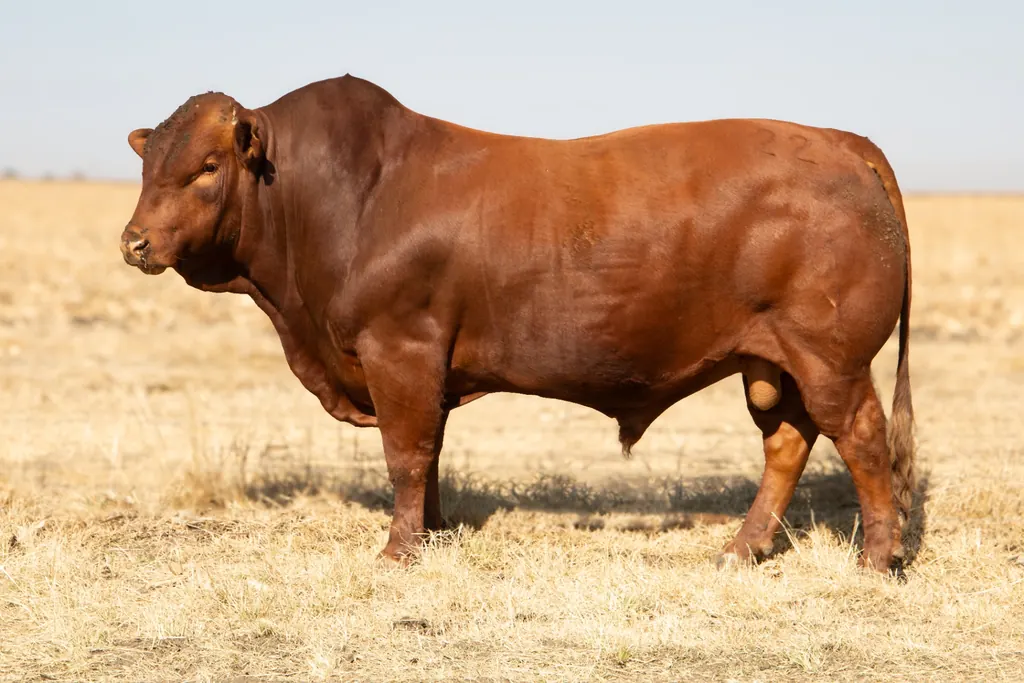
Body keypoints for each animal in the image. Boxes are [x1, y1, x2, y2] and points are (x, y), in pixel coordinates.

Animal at [120, 74, 914, 573]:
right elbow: (431, 455)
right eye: (148, 164)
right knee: (787, 442)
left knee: (863, 439)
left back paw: (878, 559)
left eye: (208, 165)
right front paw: (433, 534)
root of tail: (842, 141)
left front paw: (397, 552)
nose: (135, 243)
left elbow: (406, 455)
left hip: (830, 356)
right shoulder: (425, 369)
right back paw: (740, 549)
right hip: (773, 362)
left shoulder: (399, 350)